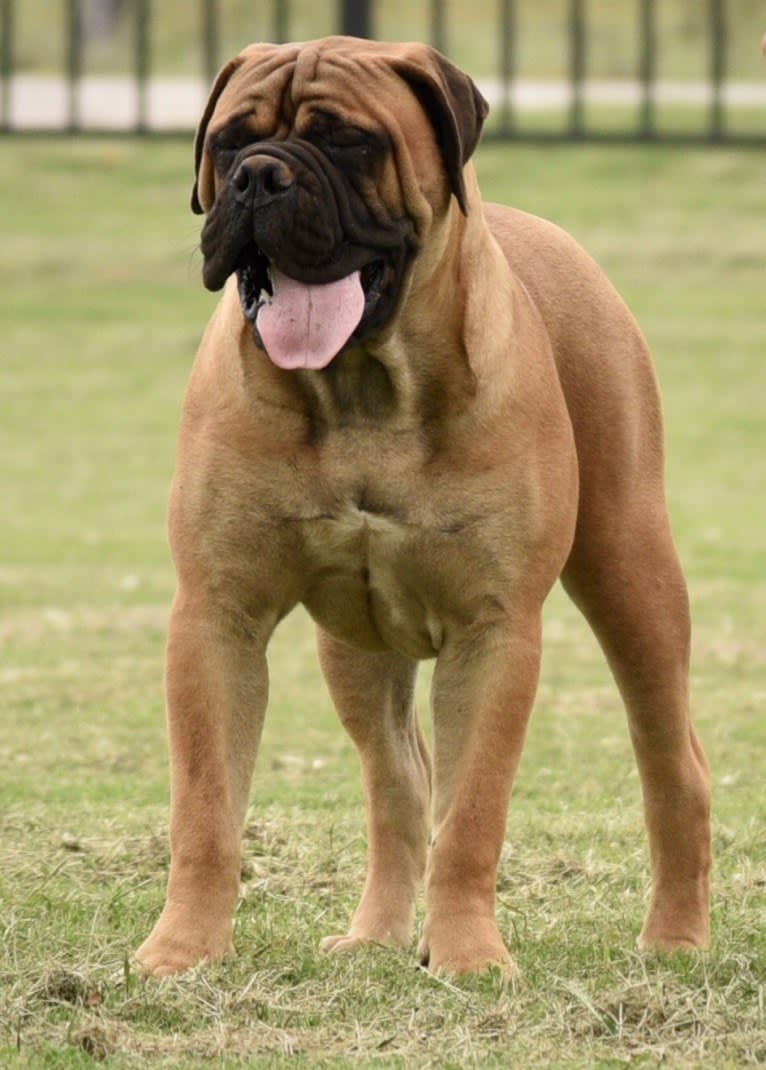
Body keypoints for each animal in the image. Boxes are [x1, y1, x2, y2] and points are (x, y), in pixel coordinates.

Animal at [133, 35, 710, 980]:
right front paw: (182, 952)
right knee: (399, 782)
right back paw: (376, 936)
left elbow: (473, 814)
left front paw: (471, 956)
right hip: (356, 646)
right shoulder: (217, 616)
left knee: (672, 764)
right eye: (228, 140)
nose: (259, 177)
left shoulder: (493, 630)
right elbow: (207, 811)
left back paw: (677, 938)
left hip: (634, 576)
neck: (364, 382)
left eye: (350, 141)